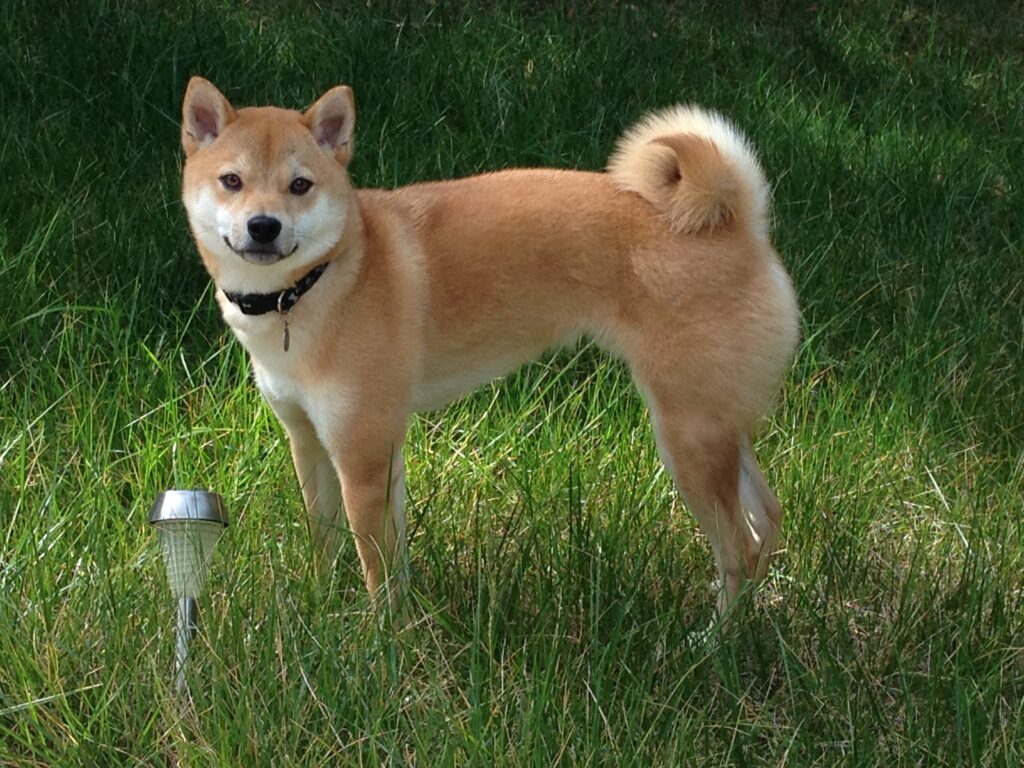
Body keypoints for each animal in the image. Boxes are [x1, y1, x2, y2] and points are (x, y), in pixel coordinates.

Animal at [178, 78, 798, 618]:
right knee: (766, 519)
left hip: (687, 436)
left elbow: (376, 567)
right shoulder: (312, 443)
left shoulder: (362, 453)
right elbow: (330, 546)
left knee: (738, 549)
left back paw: (711, 644)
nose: (263, 225)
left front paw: (379, 647)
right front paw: (322, 612)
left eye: (300, 186)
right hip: (714, 426)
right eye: (231, 181)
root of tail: (738, 223)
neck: (320, 283)